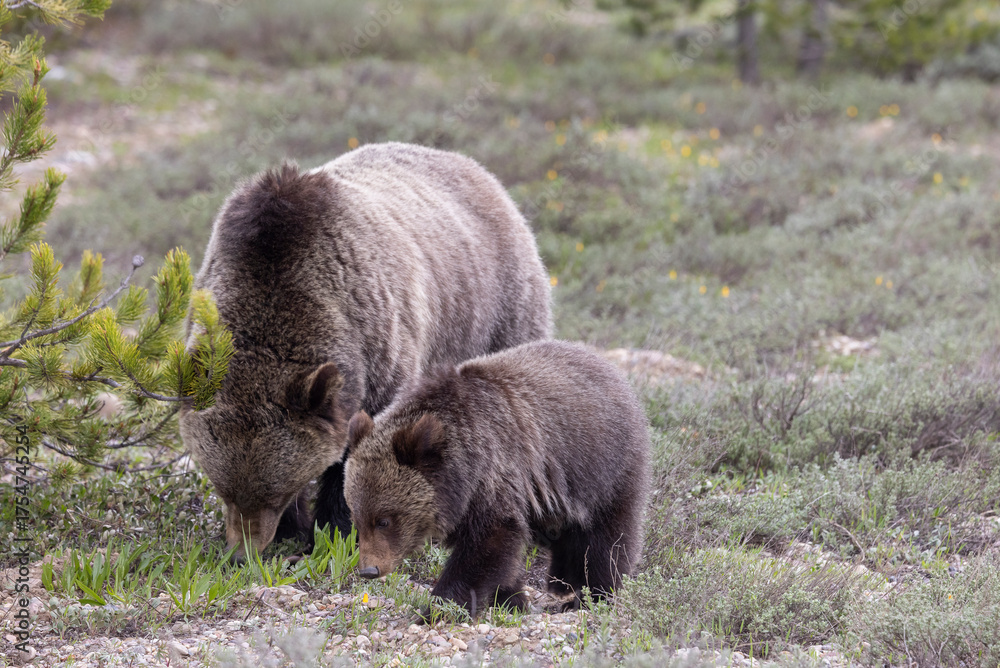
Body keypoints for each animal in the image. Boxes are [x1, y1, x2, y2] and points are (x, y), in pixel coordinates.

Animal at [178, 142, 552, 561]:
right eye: (223, 489)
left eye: (273, 494)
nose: (241, 552)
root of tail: (472, 166)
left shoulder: (378, 349)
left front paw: (335, 529)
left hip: (499, 307)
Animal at [342, 339, 651, 616]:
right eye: (356, 518)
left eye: (384, 520)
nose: (369, 569)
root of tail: (609, 367)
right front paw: (511, 600)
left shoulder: (494, 472)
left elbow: (487, 544)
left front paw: (438, 608)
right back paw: (562, 584)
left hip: (602, 467)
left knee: (606, 538)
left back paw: (590, 596)